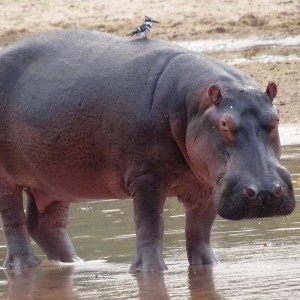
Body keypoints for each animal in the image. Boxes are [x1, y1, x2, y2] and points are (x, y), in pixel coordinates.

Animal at [0, 29, 296, 272]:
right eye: (224, 123)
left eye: (276, 118)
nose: (265, 192)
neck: (192, 105)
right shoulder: (146, 177)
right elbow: (150, 225)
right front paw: (150, 271)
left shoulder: (204, 185)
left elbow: (200, 231)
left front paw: (209, 266)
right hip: (7, 180)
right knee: (14, 222)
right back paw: (24, 266)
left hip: (56, 180)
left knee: (46, 224)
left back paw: (74, 264)